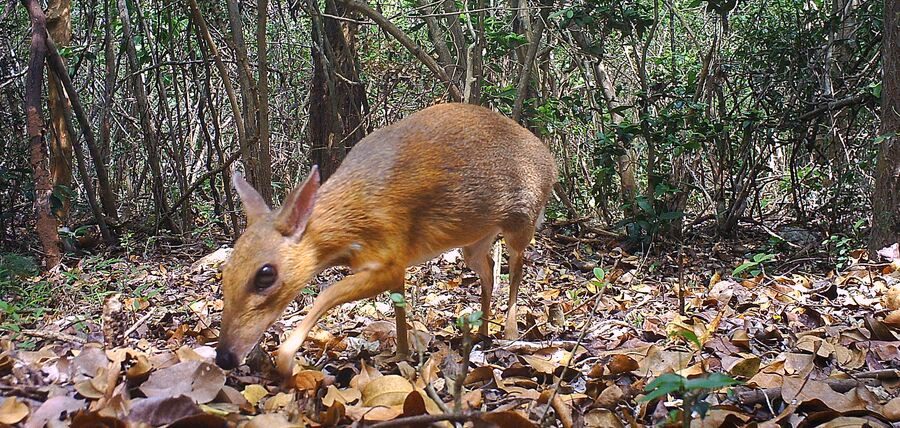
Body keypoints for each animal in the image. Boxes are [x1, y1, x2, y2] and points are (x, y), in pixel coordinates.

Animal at [214, 103, 558, 379]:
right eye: (225, 272)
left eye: (265, 275)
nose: (224, 357)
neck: (353, 218)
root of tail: (551, 162)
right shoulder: (396, 262)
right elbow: (398, 303)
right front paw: (401, 354)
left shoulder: (390, 254)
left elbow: (326, 294)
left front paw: (286, 361)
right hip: (474, 240)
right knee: (487, 269)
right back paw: (482, 331)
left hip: (522, 220)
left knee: (516, 269)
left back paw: (510, 332)